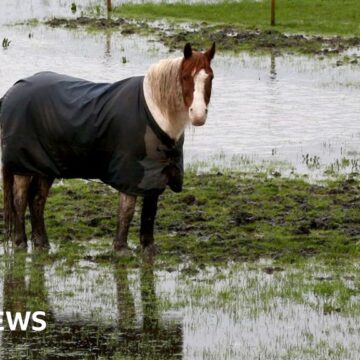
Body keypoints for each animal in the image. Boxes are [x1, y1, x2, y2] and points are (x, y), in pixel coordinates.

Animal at [0, 42, 215, 255]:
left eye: (210, 77)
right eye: (185, 76)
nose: (198, 115)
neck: (155, 113)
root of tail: (13, 89)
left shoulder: (155, 173)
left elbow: (149, 211)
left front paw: (148, 247)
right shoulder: (130, 173)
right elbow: (127, 210)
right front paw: (121, 249)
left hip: (46, 166)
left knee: (37, 199)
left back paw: (42, 243)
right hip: (23, 166)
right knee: (19, 199)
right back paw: (20, 243)